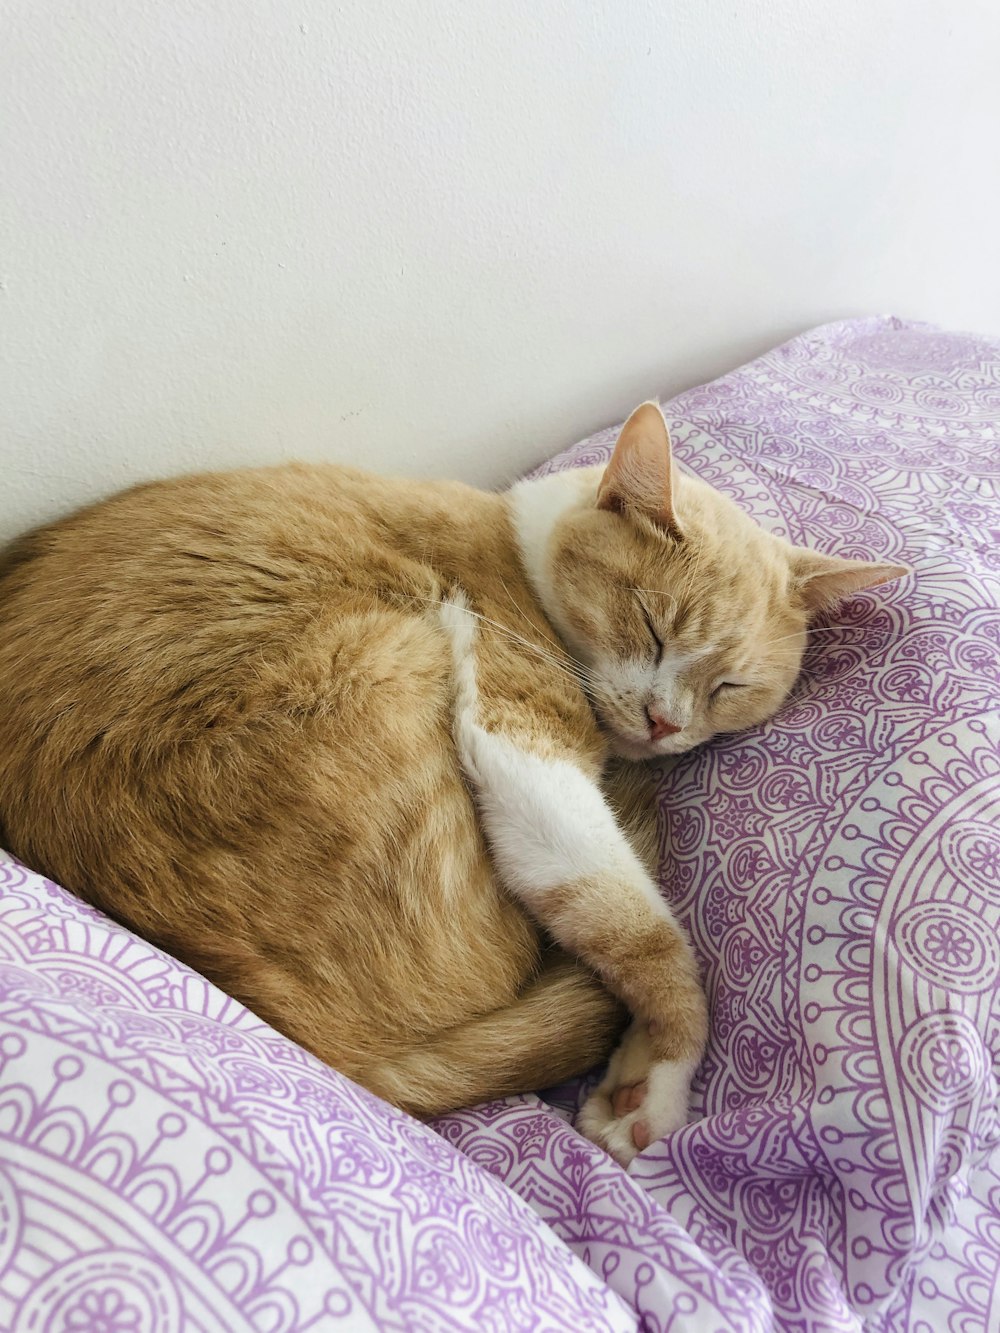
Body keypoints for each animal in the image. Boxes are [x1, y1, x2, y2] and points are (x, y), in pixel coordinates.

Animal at [0, 405, 906, 1167]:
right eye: (652, 626)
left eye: (730, 687)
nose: (662, 722)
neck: (515, 540)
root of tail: (324, 1044)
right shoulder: (518, 741)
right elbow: (647, 934)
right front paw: (661, 1076)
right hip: (400, 659)